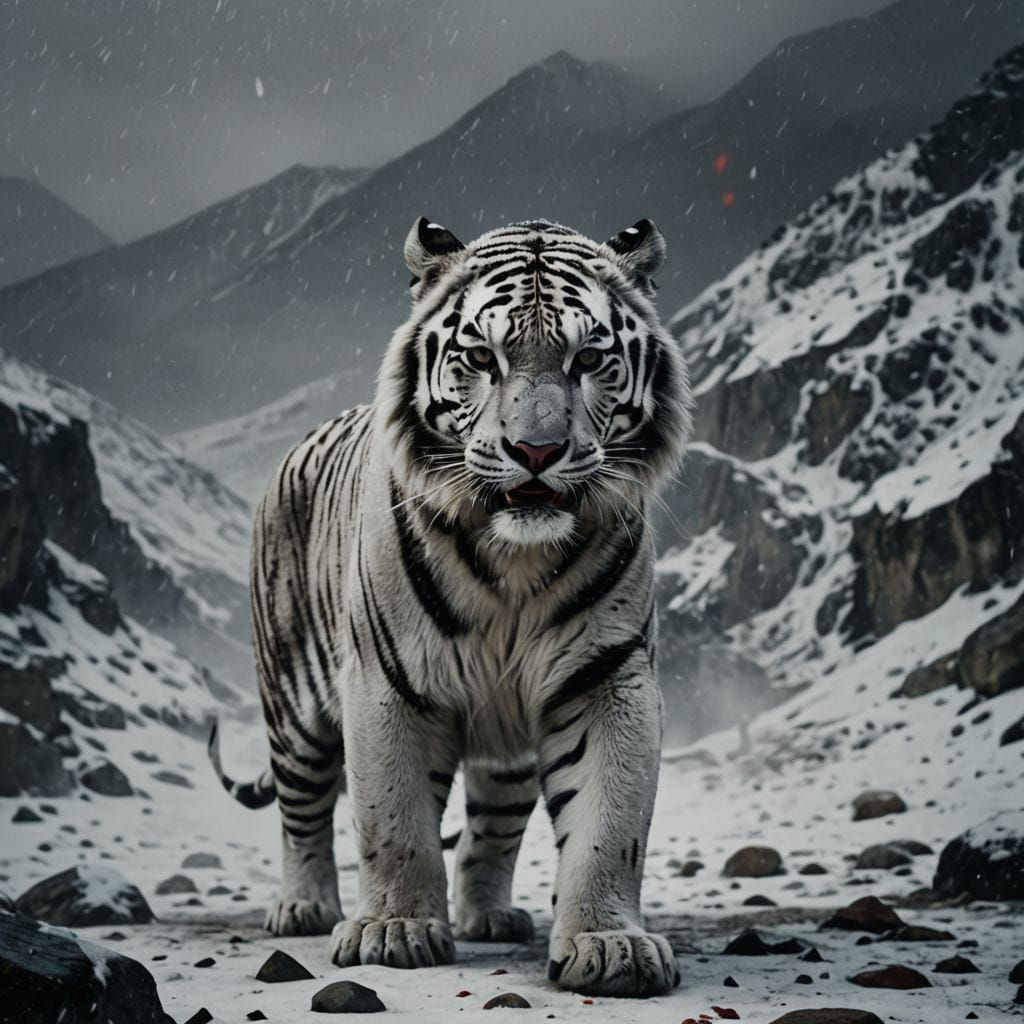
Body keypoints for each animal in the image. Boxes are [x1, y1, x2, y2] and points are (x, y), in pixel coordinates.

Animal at [209, 215, 693, 997]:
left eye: (589, 358)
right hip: (293, 708)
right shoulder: (386, 684)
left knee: (491, 832)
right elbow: (394, 821)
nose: (536, 451)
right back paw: (303, 907)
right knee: (301, 811)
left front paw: (610, 944)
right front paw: (392, 931)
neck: (515, 562)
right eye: (481, 357)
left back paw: (489, 916)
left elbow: (609, 824)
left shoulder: (608, 678)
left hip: (507, 756)